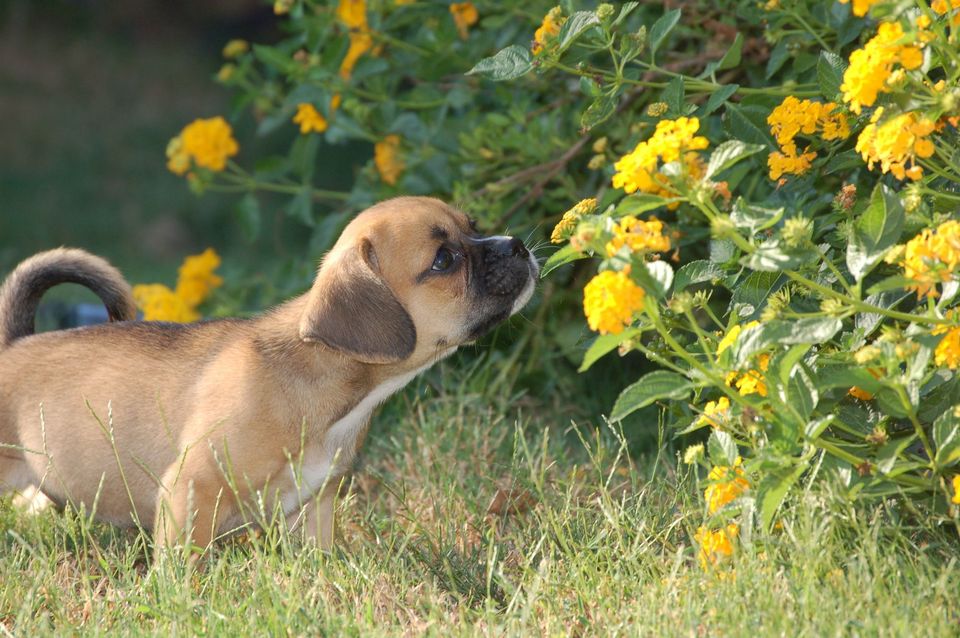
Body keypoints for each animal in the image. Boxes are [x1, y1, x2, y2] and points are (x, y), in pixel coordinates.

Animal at [0, 198, 540, 556]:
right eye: (444, 260)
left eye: (475, 227)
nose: (517, 245)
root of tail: (13, 344)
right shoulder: (191, 488)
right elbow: (183, 567)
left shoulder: (314, 507)